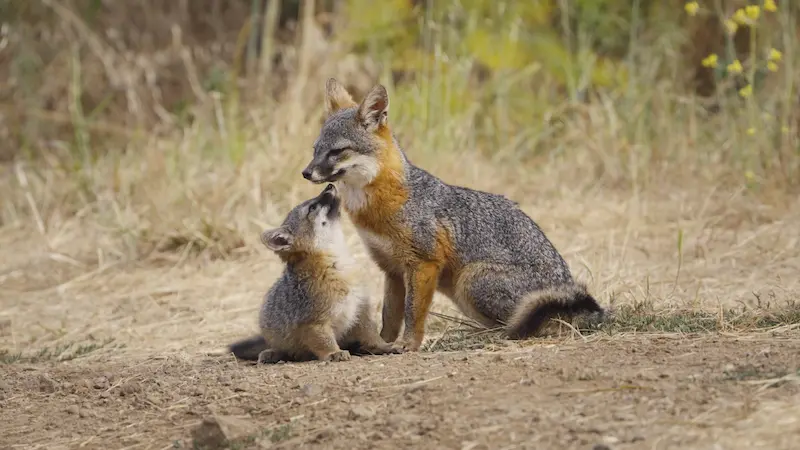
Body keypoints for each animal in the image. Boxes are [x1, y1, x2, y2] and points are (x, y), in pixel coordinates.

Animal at [227, 183, 398, 363]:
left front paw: (384, 346)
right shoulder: (313, 322)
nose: (329, 185)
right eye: (312, 208)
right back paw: (272, 353)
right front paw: (333, 353)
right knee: (281, 348)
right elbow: (324, 341)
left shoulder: (360, 311)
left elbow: (372, 336)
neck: (339, 267)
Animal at [299, 78, 604, 352]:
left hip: (469, 281)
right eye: (315, 150)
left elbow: (412, 313)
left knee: (524, 324)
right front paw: (381, 344)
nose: (306, 172)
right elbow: (390, 317)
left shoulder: (424, 263)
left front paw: (409, 345)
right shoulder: (392, 269)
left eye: (337, 152)